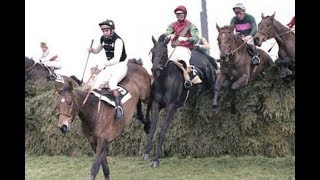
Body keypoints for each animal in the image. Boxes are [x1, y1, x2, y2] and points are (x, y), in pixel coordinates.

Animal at [142, 34, 219, 167]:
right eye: (152, 51)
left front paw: (156, 159)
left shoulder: (171, 106)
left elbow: (163, 130)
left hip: (211, 80)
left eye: (164, 52)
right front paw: (146, 153)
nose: (155, 69)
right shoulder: (156, 104)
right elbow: (152, 128)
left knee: (216, 87)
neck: (165, 81)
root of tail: (204, 55)